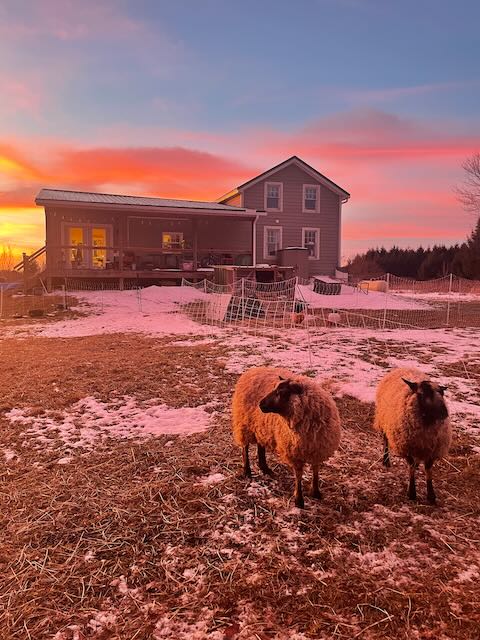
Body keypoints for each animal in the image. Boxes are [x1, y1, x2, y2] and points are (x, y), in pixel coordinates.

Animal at [232, 368, 342, 508]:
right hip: (244, 423)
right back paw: (247, 471)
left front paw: (316, 492)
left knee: (260, 445)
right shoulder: (295, 452)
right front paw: (299, 500)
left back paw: (265, 468)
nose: (260, 404)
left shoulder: (317, 449)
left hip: (261, 425)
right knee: (245, 447)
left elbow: (316, 470)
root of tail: (253, 370)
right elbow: (299, 475)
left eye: (281, 392)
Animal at [374, 364, 452, 504]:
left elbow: (428, 470)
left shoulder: (432, 450)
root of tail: (403, 367)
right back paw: (386, 461)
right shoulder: (407, 447)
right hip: (384, 421)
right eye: (422, 394)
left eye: (442, 393)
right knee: (386, 441)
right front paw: (412, 493)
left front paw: (431, 496)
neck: (427, 424)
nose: (444, 413)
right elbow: (410, 467)